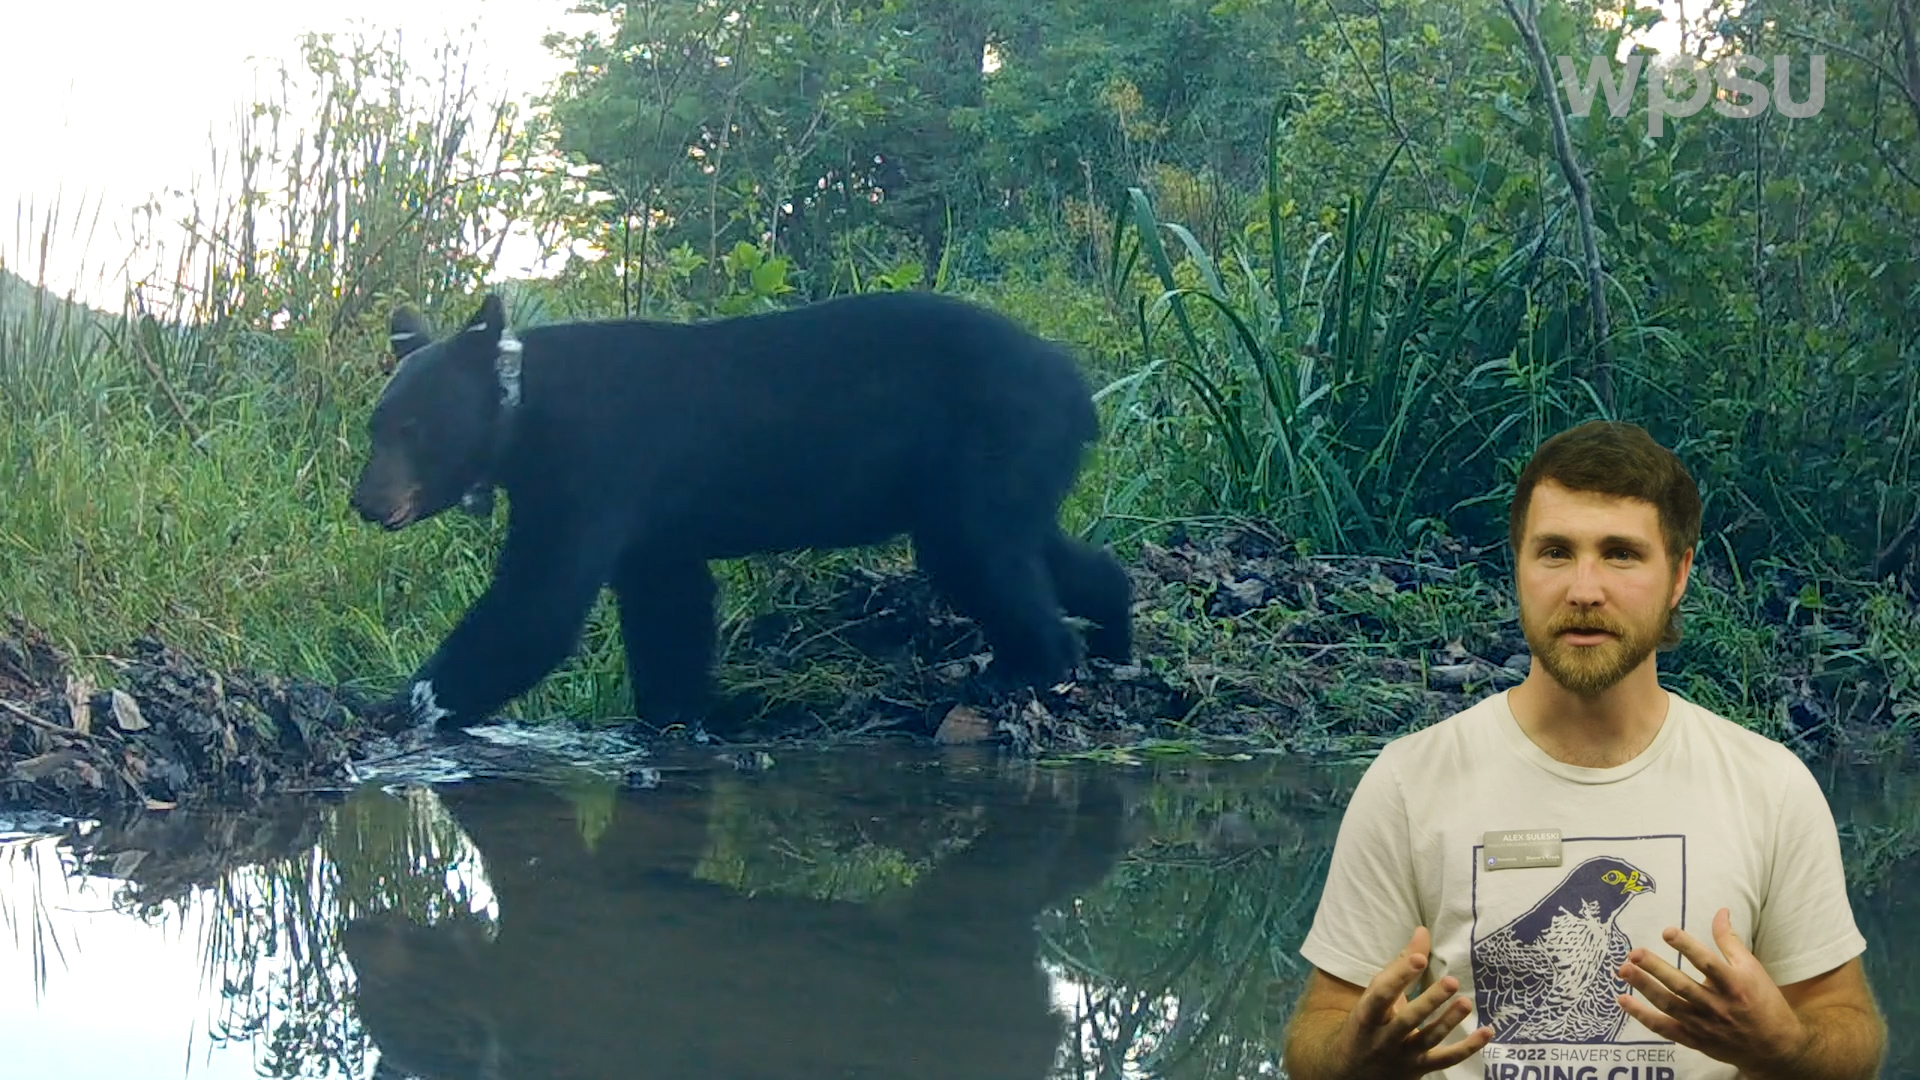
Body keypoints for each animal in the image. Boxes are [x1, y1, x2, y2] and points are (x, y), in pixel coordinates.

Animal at [349, 286, 1121, 730]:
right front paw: (674, 709)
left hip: (988, 439)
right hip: (999, 466)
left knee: (982, 555)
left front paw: (410, 702)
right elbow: (670, 604)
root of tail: (1078, 390)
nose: (365, 501)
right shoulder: (653, 519)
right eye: (374, 425)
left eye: (414, 428)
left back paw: (1027, 667)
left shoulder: (596, 464)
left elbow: (538, 603)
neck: (525, 415)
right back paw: (1115, 632)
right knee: (1036, 547)